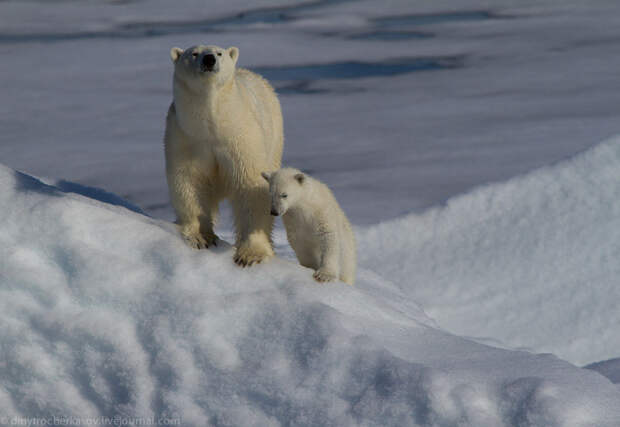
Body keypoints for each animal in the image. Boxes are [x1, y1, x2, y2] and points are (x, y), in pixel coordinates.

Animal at [162, 45, 284, 266]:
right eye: (194, 53)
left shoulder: (240, 137)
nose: (209, 60)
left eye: (219, 53)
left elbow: (250, 185)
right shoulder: (185, 137)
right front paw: (201, 237)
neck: (212, 127)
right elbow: (190, 181)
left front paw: (251, 254)